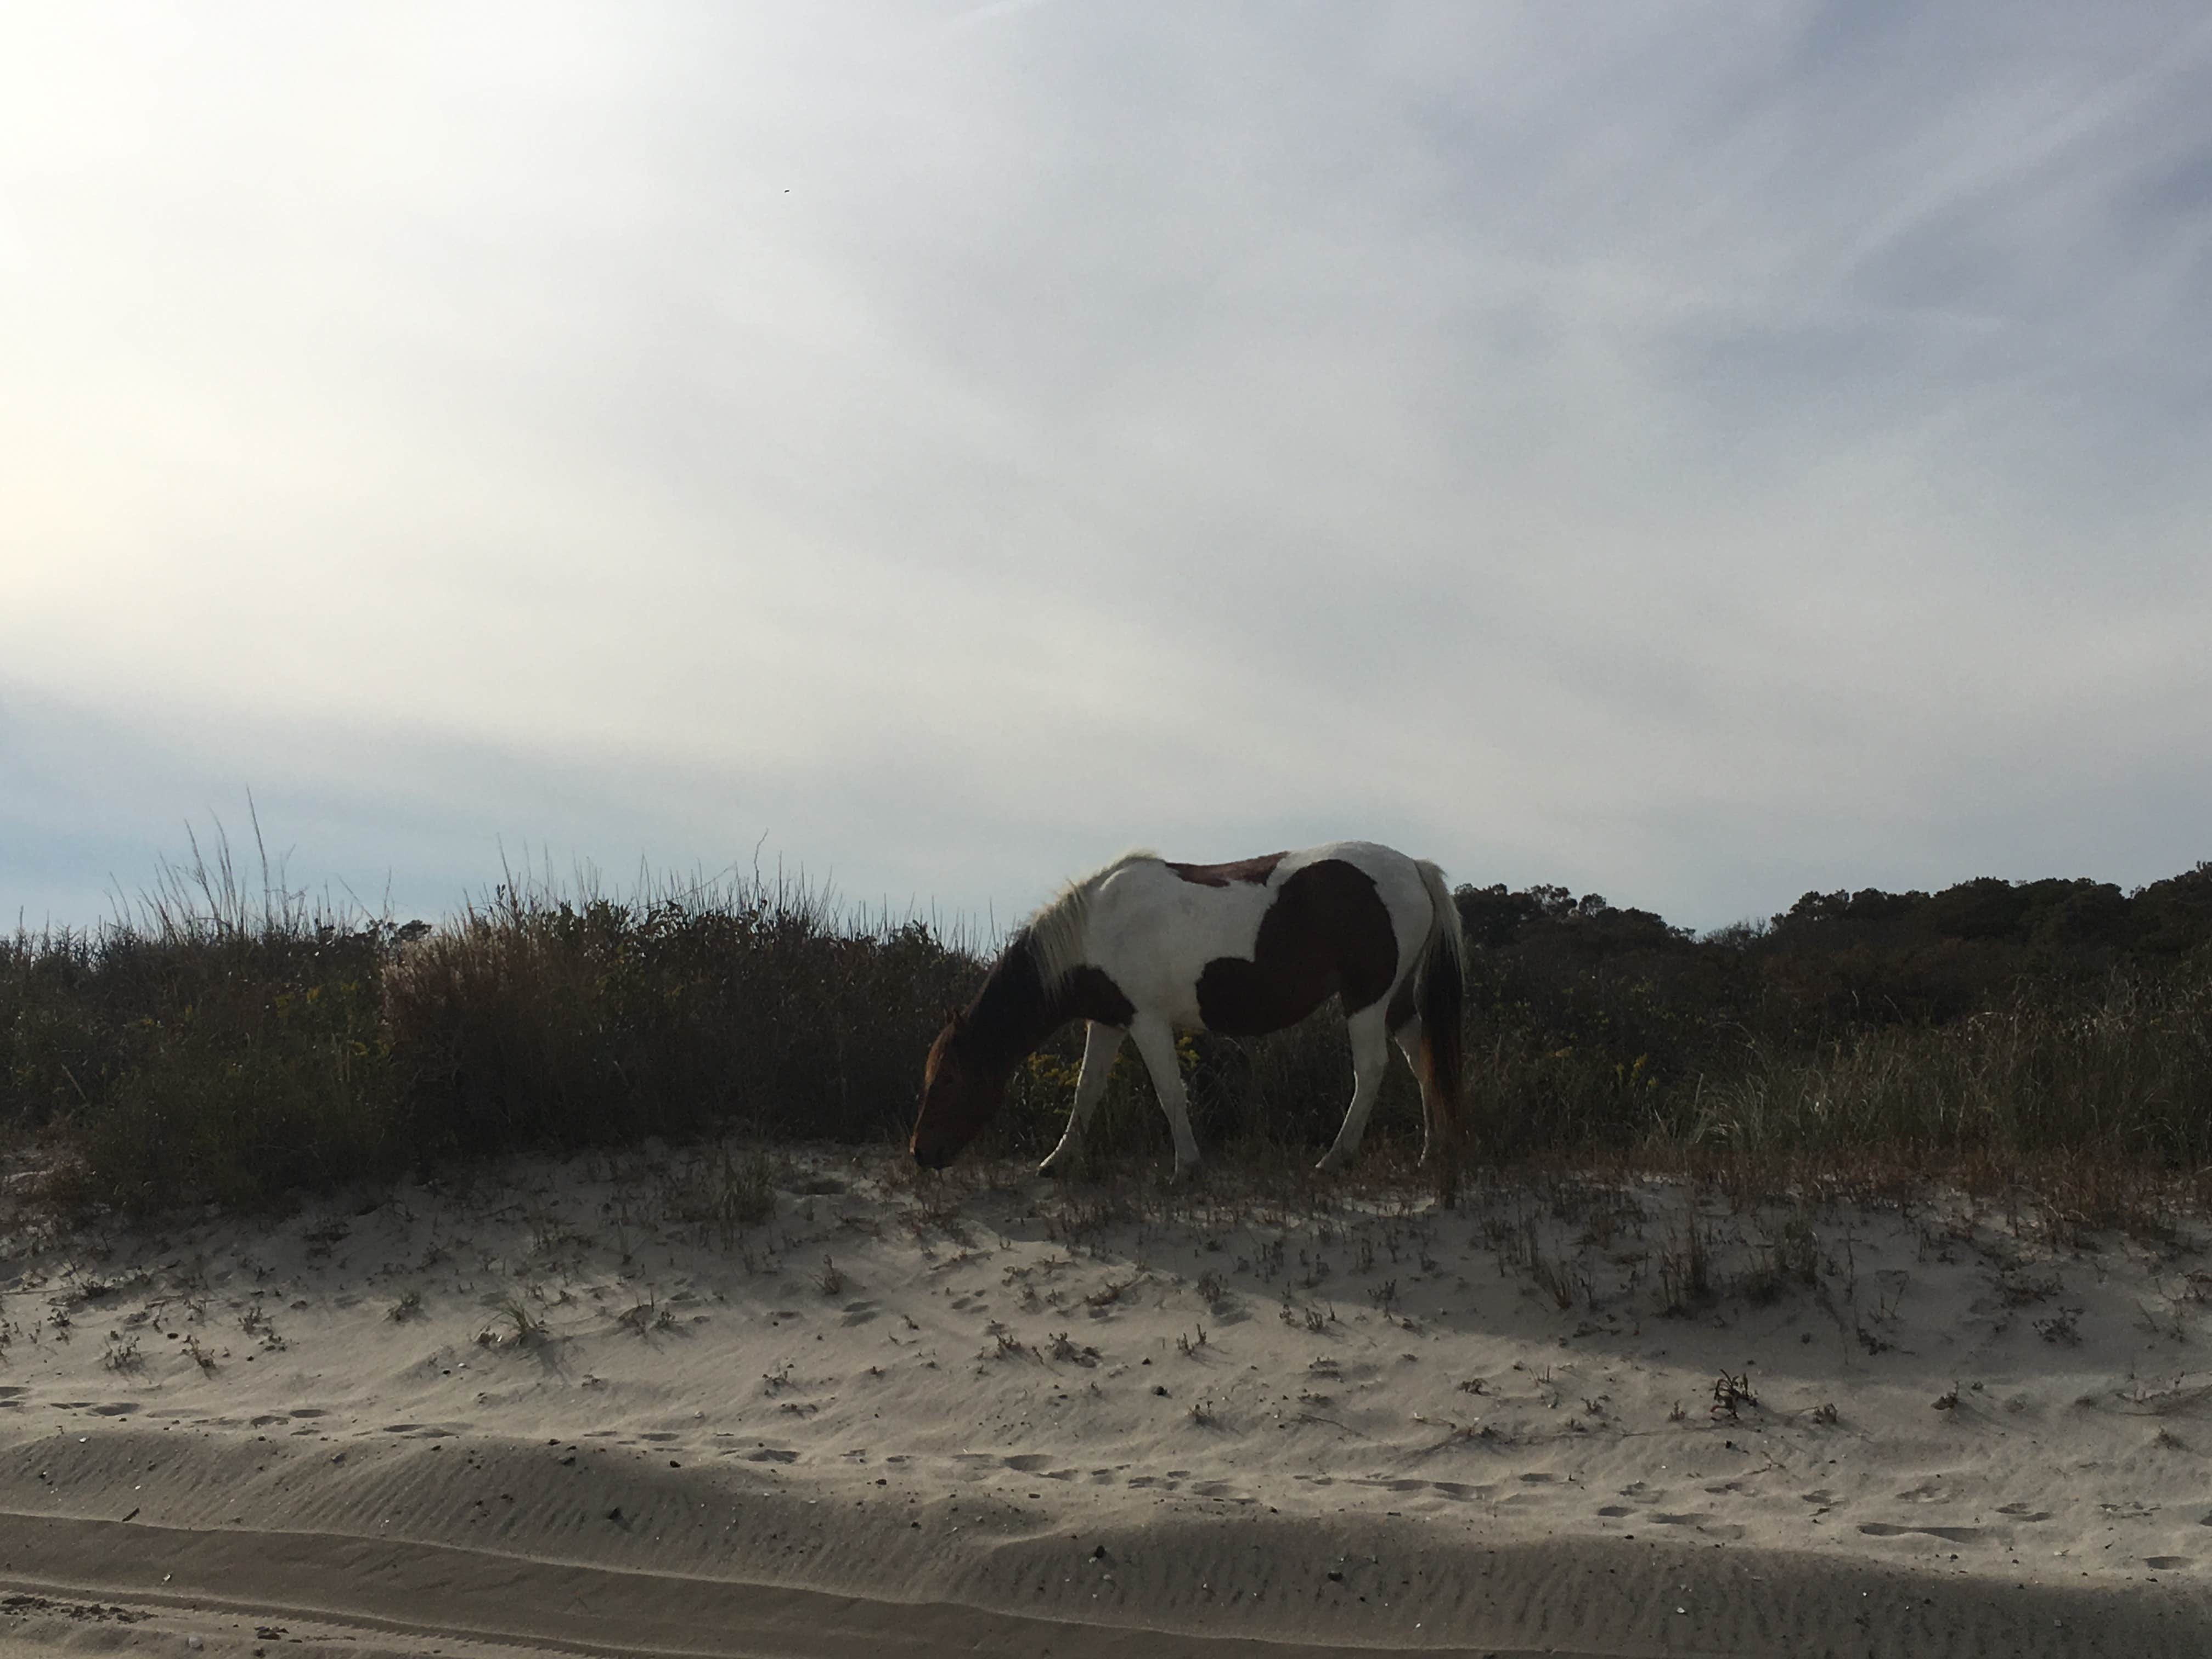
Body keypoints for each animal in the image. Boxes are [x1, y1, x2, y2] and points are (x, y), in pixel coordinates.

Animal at [909, 841, 1467, 1202]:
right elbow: (1087, 1091)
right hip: (1396, 1002)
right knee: (1422, 1063)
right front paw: (1057, 1160)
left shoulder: (1147, 1021)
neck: (1096, 927)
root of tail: (1414, 868)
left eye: (949, 1078)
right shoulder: (1109, 1023)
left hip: (1366, 1000)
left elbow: (1169, 1093)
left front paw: (1186, 1169)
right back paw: (1431, 1153)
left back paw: (1336, 1157)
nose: (920, 1153)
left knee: (1370, 1070)